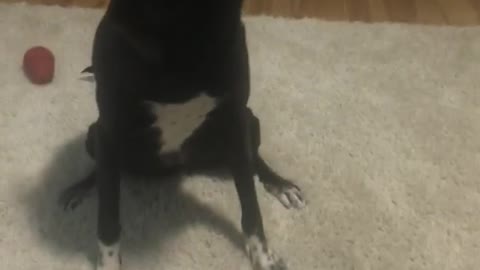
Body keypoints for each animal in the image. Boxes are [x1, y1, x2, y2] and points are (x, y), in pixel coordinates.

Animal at [60, 0, 304, 270]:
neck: (181, 21)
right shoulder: (110, 130)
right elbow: (108, 216)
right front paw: (109, 262)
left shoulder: (236, 118)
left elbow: (251, 203)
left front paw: (263, 256)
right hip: (94, 135)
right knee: (103, 169)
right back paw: (81, 187)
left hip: (250, 123)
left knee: (254, 158)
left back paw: (280, 184)